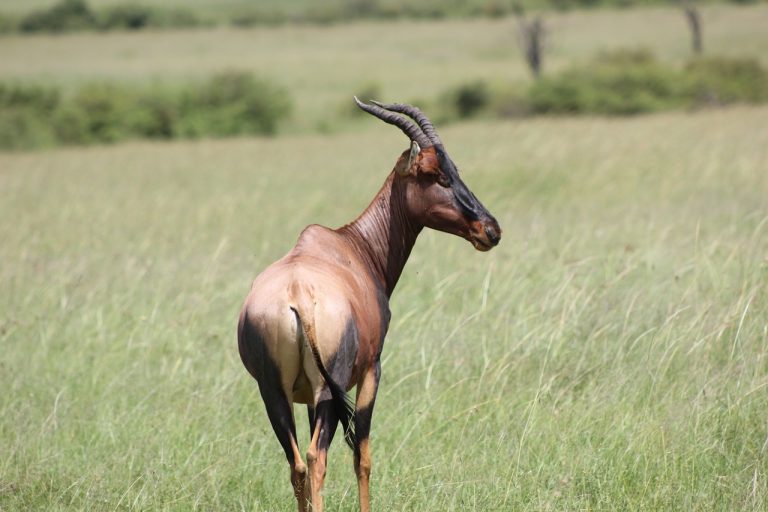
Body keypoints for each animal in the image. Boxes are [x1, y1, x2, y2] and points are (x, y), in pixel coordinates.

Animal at [237, 98, 501, 512]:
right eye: (437, 175)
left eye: (455, 169)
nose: (490, 230)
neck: (351, 246)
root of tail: (298, 296)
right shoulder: (371, 371)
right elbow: (363, 456)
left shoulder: (303, 396)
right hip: (328, 390)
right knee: (317, 458)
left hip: (274, 392)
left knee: (298, 464)